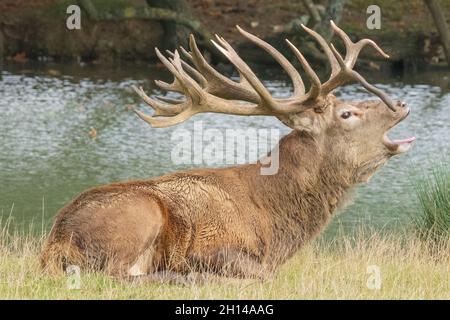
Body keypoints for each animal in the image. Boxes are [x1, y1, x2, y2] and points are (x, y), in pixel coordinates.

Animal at [39, 22, 414, 282]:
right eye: (347, 114)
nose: (400, 102)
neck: (276, 226)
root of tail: (56, 241)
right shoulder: (214, 247)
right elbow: (264, 275)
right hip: (140, 214)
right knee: (116, 274)